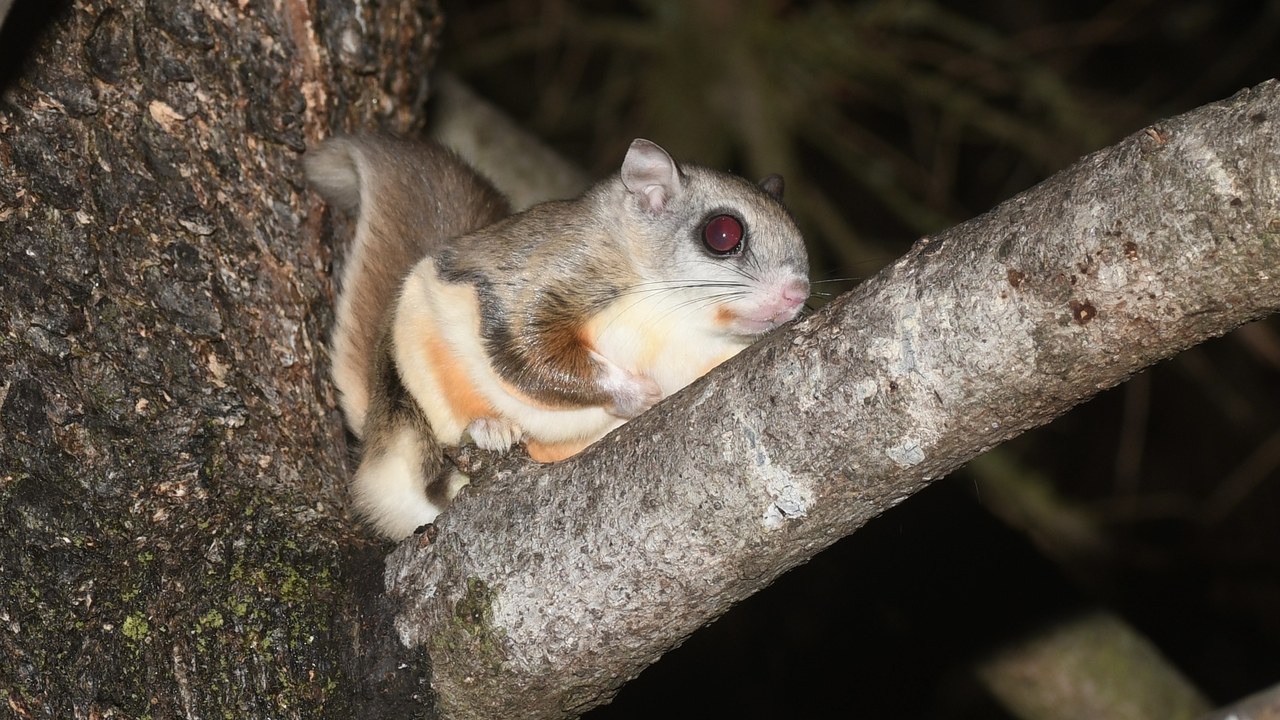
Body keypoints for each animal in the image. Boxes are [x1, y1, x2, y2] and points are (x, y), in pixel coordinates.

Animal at [305, 134, 810, 539]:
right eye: (722, 233)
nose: (797, 294)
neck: (684, 318)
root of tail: (374, 435)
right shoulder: (547, 275)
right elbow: (530, 353)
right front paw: (636, 394)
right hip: (418, 376)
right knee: (427, 470)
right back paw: (486, 433)